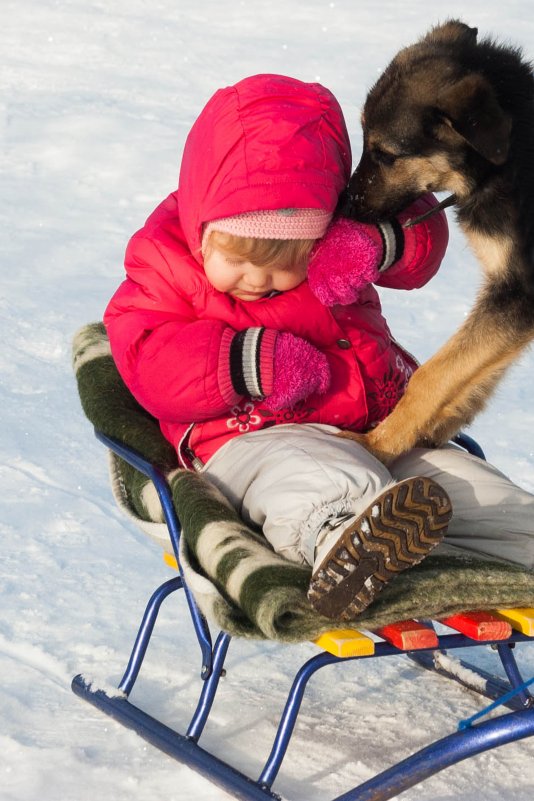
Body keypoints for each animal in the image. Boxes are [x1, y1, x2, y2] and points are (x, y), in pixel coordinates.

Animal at [342, 18, 534, 462]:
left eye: (386, 154)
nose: (344, 206)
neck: (507, 159)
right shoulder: (512, 301)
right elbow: (472, 371)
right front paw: (438, 424)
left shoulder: (517, 294)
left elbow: (433, 374)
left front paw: (380, 444)